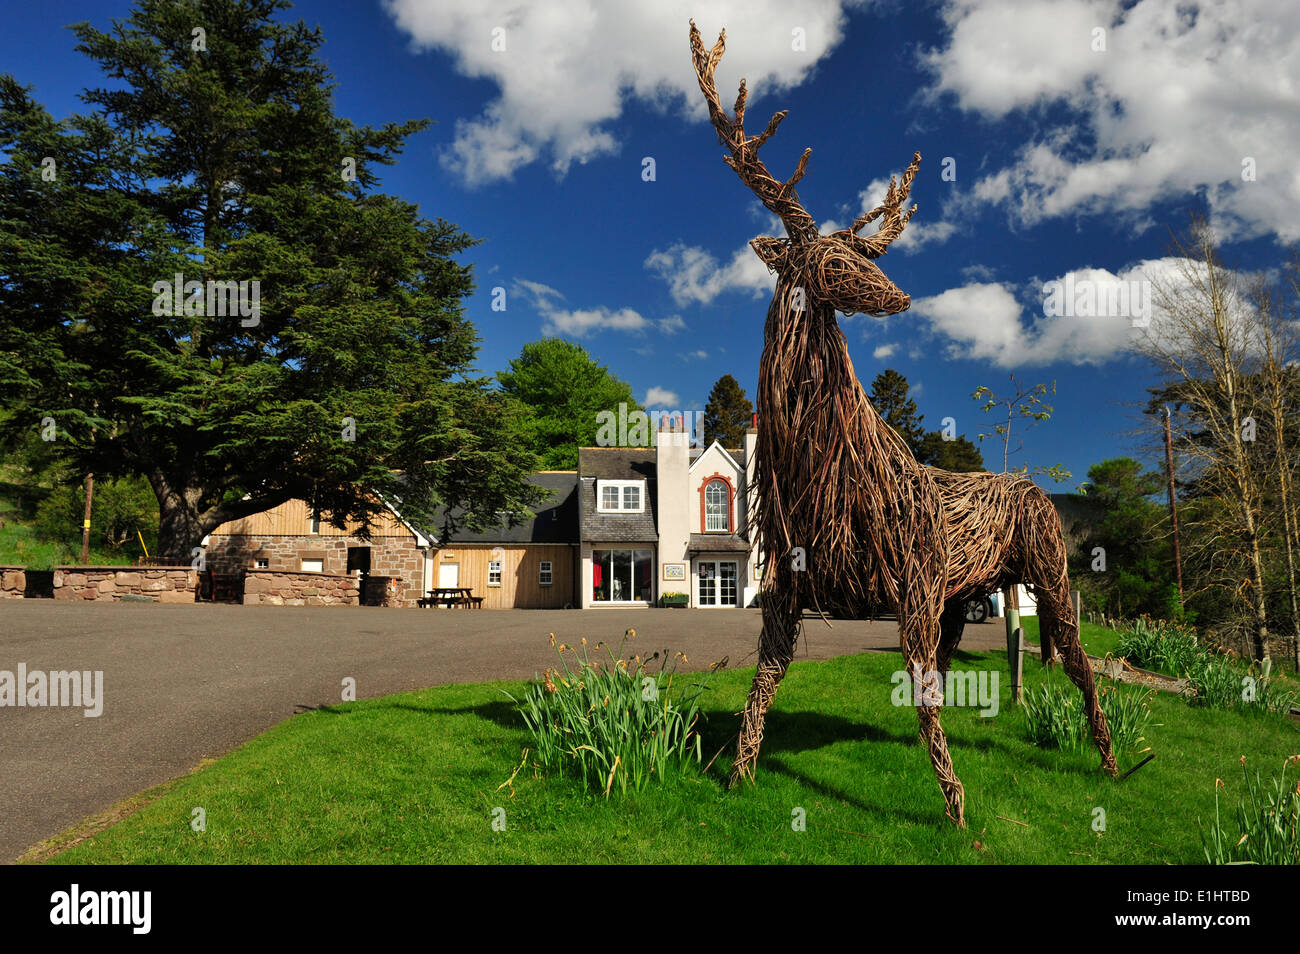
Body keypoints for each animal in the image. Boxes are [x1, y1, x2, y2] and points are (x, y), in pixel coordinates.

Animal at [688, 21, 1117, 827]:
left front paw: (956, 811)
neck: (818, 475)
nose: (901, 296)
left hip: (1047, 569)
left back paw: (1108, 762)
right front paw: (737, 777)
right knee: (958, 667)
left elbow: (921, 699)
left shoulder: (915, 582)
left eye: (860, 254)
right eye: (827, 259)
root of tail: (1036, 491)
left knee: (1076, 662)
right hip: (965, 594)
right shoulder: (790, 592)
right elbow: (762, 688)